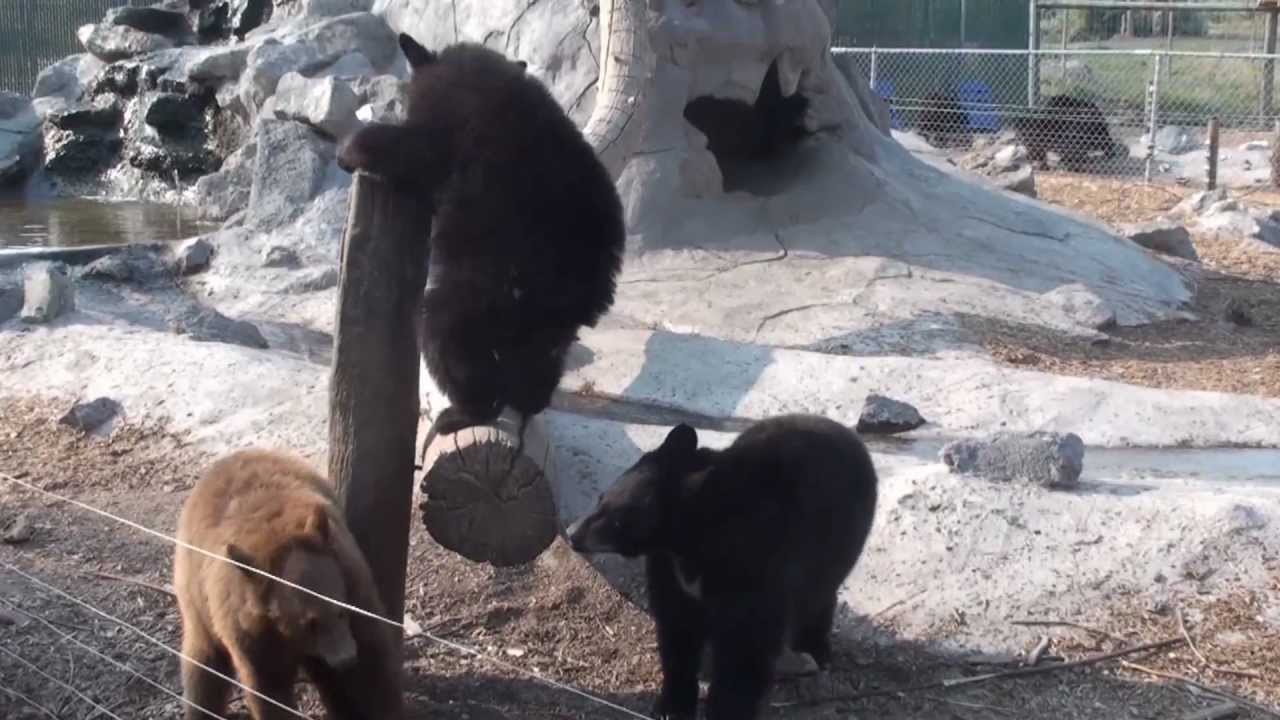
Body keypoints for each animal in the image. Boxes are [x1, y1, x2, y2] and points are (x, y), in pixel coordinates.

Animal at [173, 448, 403, 720]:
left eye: (341, 611)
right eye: (309, 623)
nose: (345, 659)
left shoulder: (353, 582)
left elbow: (372, 655)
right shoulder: (252, 634)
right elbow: (269, 689)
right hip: (197, 601)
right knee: (203, 663)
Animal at [336, 33, 626, 462]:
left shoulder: (449, 122)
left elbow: (410, 150)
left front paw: (349, 150)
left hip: (485, 289)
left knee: (446, 335)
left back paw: (462, 411)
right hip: (537, 317)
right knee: (537, 361)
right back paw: (528, 402)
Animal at [566, 415, 880, 720]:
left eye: (619, 519)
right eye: (601, 498)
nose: (572, 533)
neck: (689, 542)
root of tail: (847, 433)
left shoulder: (755, 566)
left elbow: (745, 645)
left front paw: (725, 709)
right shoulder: (669, 569)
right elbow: (677, 628)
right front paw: (672, 705)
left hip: (840, 539)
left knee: (818, 594)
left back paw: (815, 647)